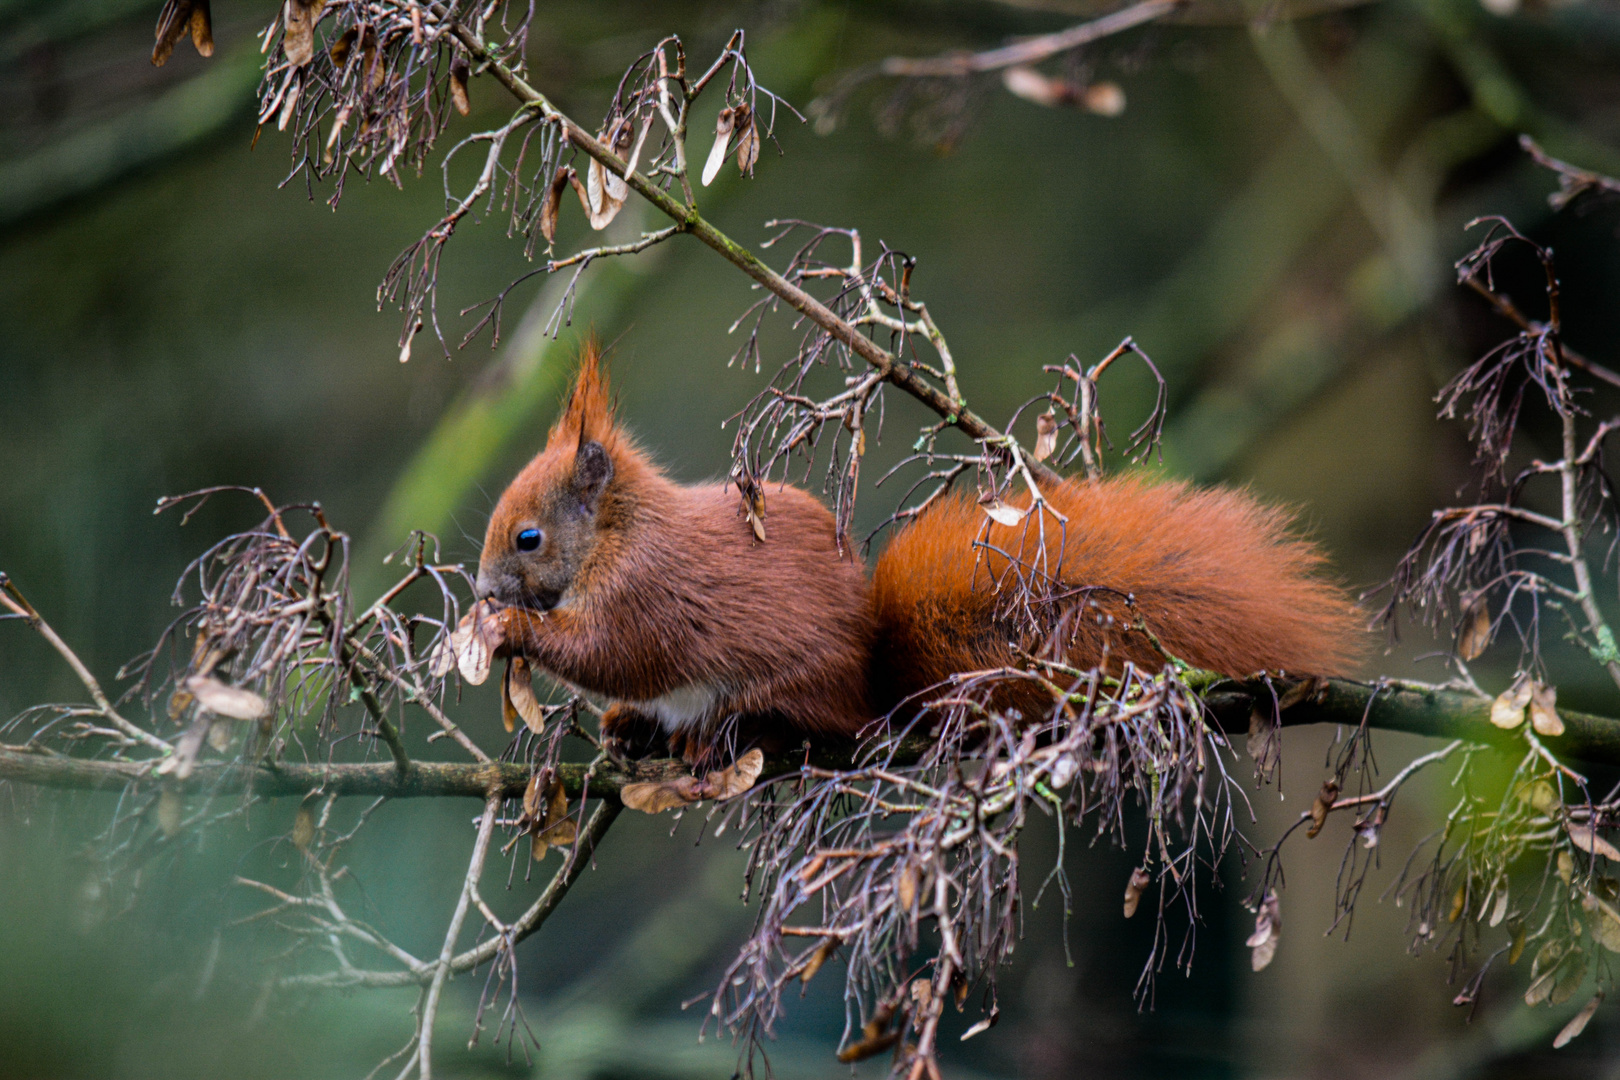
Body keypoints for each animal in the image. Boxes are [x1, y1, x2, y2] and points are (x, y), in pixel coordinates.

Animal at [473, 341, 1360, 764]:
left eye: (529, 538)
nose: (482, 589)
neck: (615, 534)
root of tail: (871, 682)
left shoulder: (646, 588)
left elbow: (613, 651)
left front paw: (511, 632)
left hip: (797, 690)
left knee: (779, 718)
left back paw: (727, 733)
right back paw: (634, 730)